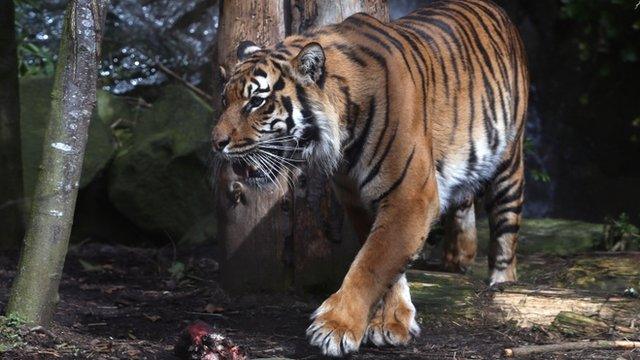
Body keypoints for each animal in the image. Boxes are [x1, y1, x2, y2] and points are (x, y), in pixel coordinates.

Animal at [212, 0, 528, 356]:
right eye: (225, 100)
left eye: (256, 101)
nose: (216, 142)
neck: (343, 132)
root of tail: (494, 8)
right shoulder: (358, 201)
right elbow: (383, 261)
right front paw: (393, 322)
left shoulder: (410, 196)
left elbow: (371, 263)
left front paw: (335, 327)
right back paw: (456, 260)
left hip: (509, 158)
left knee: (506, 224)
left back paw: (502, 282)